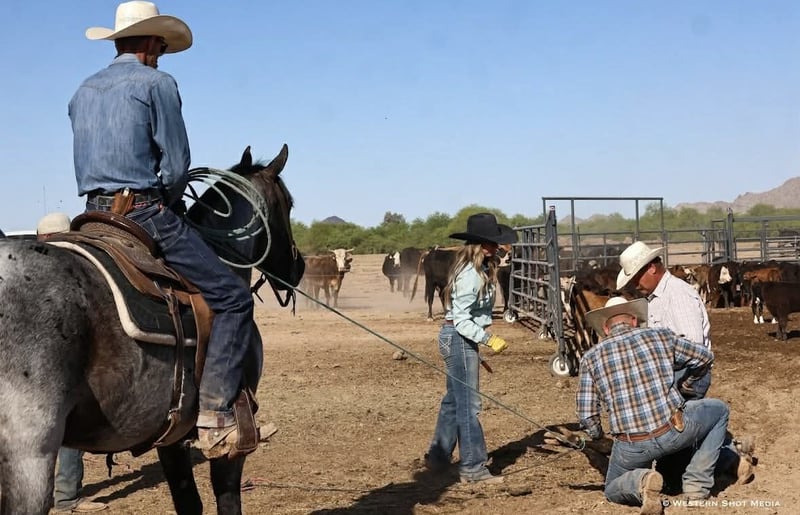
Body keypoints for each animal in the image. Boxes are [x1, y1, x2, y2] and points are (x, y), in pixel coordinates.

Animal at [0, 144, 304, 514]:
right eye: (288, 204)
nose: (299, 266)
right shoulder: (234, 439)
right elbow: (227, 499)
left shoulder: (171, 435)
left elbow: (188, 501)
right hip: (30, 456)